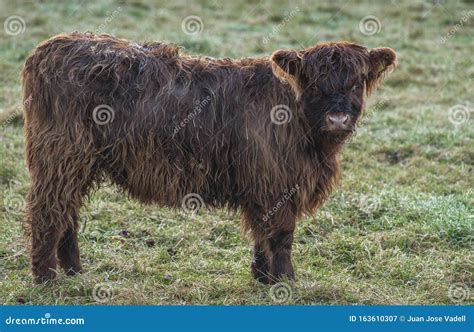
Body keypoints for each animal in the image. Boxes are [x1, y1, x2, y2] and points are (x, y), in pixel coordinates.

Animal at [22, 33, 396, 282]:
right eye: (315, 83)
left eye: (356, 83)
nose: (338, 118)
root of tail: (50, 47)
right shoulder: (276, 183)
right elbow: (281, 234)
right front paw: (285, 280)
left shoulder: (261, 185)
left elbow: (262, 233)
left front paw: (263, 276)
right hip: (62, 155)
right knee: (48, 211)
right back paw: (47, 278)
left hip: (75, 162)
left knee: (67, 211)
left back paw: (74, 271)